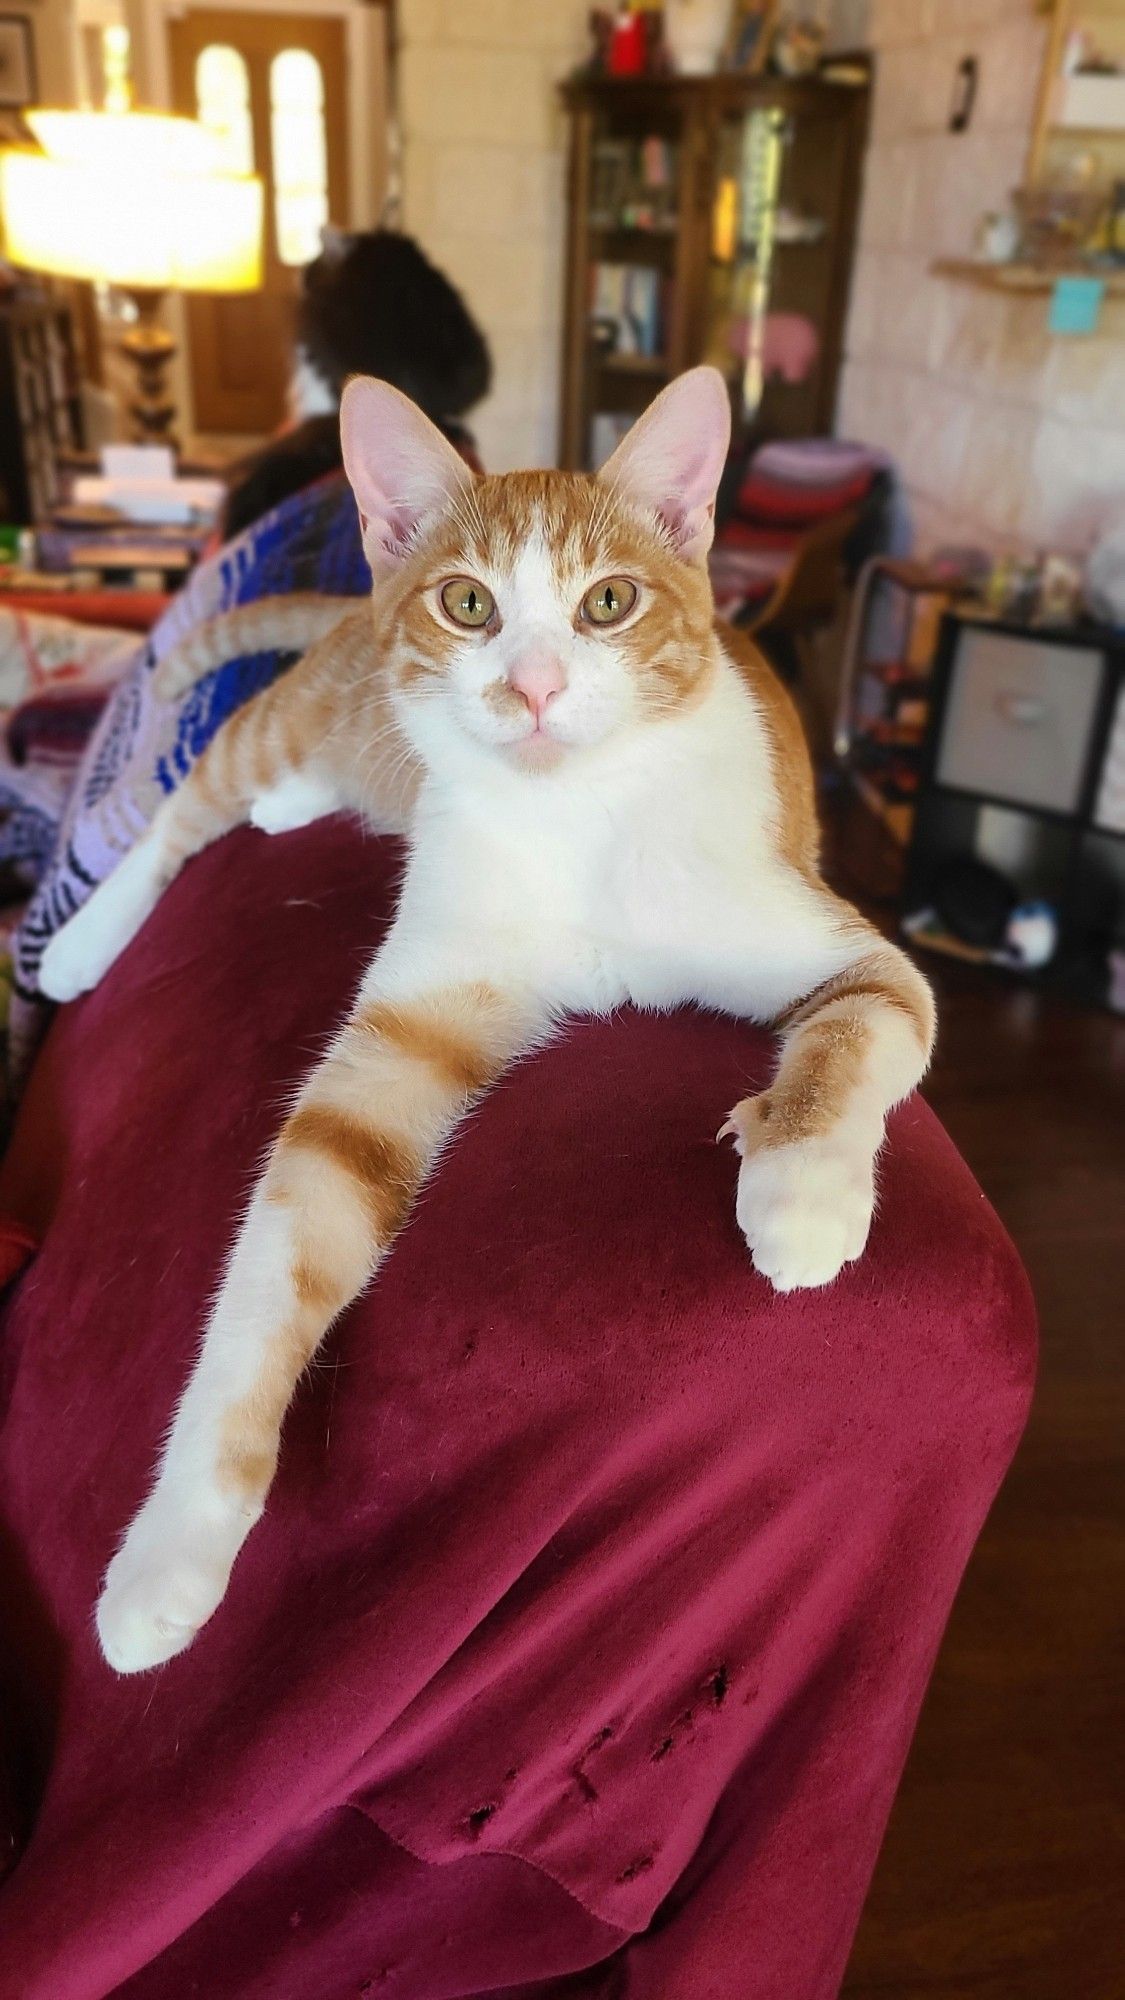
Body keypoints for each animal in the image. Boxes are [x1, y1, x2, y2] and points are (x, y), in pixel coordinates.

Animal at [39, 364, 932, 1672]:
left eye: (609, 603)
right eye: (468, 604)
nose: (536, 686)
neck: (576, 820)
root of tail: (347, 613)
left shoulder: (836, 939)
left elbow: (868, 1023)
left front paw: (802, 1190)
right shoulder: (404, 1028)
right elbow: (280, 1248)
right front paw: (176, 1541)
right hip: (298, 715)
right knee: (189, 800)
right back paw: (88, 935)